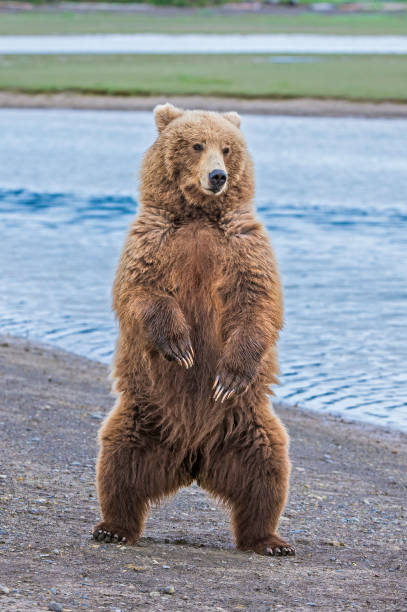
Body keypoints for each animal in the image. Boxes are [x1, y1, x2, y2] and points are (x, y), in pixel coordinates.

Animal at [93, 104, 296, 556]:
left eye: (227, 148)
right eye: (197, 144)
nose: (218, 176)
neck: (200, 216)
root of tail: (193, 458)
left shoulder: (244, 245)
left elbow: (257, 304)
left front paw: (228, 375)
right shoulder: (152, 240)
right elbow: (142, 292)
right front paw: (182, 347)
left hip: (247, 421)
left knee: (267, 471)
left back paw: (270, 540)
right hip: (141, 412)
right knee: (118, 463)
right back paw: (113, 527)